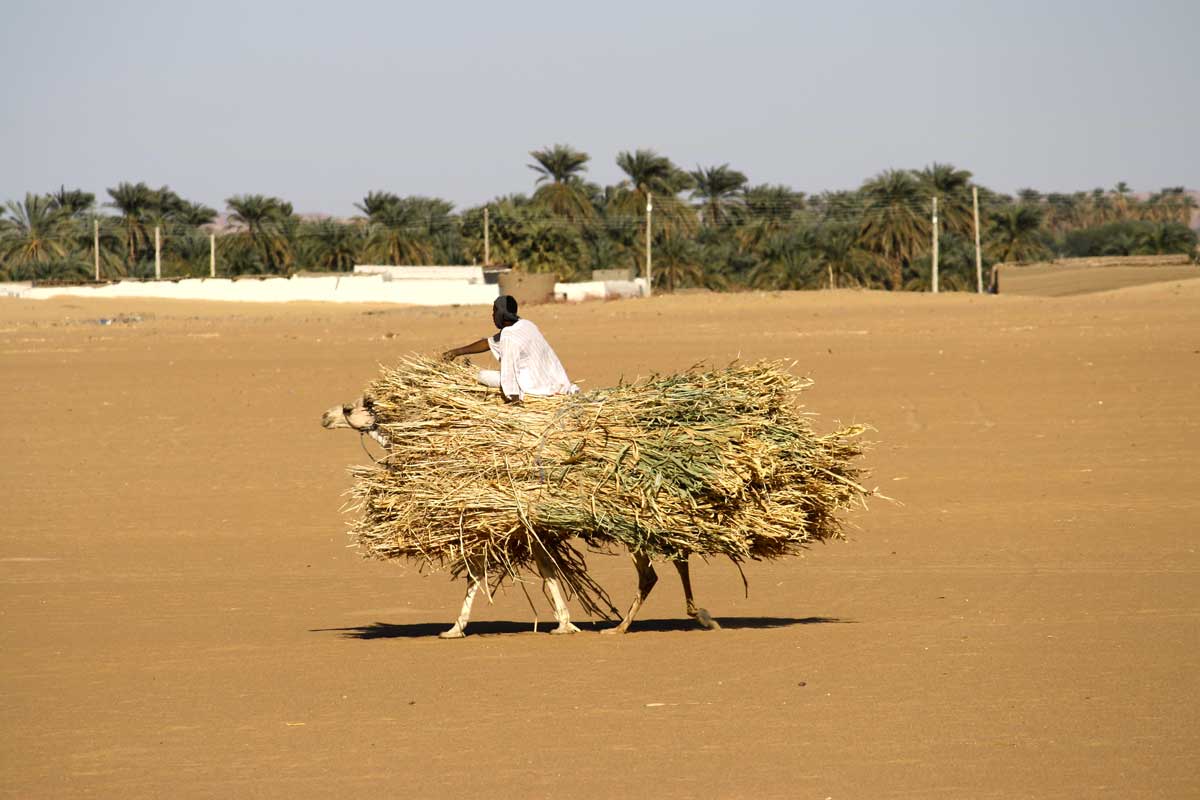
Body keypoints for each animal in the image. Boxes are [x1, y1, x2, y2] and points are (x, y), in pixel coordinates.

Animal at [316, 398, 720, 642]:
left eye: (350, 409)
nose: (324, 416)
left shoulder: (495, 526)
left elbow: (480, 576)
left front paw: (454, 629)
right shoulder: (524, 530)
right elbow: (544, 574)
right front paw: (565, 622)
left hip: (629, 524)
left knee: (658, 568)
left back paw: (633, 626)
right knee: (675, 555)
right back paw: (694, 615)